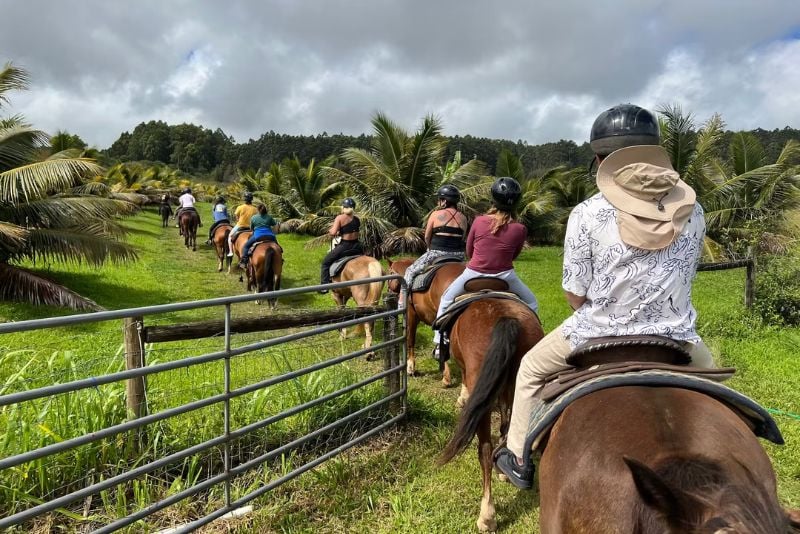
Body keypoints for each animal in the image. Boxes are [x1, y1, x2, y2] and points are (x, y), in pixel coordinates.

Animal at [438, 300, 544, 532]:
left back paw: (487, 515)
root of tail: (506, 318)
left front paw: (462, 398)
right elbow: (505, 425)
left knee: (484, 451)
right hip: (520, 386)